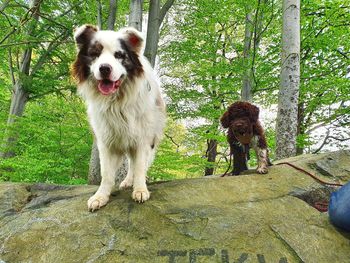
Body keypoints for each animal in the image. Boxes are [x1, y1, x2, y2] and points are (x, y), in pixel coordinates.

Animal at [72, 25, 166, 212]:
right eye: (94, 53)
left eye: (119, 55)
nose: (104, 68)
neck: (116, 101)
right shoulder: (105, 138)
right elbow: (107, 173)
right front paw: (100, 197)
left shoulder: (143, 136)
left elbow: (140, 166)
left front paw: (140, 190)